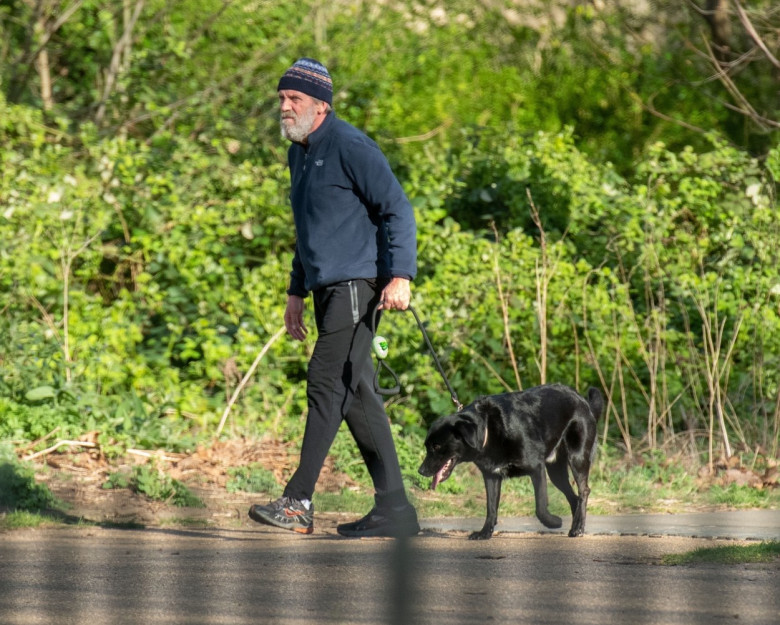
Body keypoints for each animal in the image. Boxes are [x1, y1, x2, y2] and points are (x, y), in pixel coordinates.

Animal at [420, 382, 604, 540]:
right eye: (427, 446)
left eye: (436, 446)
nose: (420, 471)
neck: (488, 430)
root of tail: (583, 401)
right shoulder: (491, 476)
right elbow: (491, 508)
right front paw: (485, 533)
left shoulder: (537, 469)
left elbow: (540, 508)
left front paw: (553, 522)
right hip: (556, 472)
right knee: (574, 498)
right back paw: (576, 526)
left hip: (577, 458)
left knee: (583, 491)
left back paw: (578, 528)